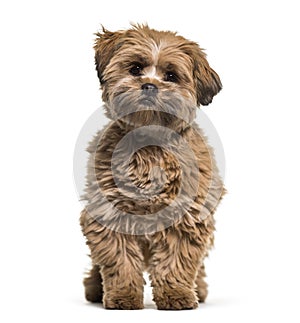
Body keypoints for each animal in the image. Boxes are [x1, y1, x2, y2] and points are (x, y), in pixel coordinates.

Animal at [79, 24, 225, 312]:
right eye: (135, 68)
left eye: (171, 76)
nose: (149, 85)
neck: (148, 144)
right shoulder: (109, 214)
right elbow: (120, 260)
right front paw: (123, 295)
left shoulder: (186, 216)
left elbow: (176, 261)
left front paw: (177, 294)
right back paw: (94, 287)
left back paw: (199, 289)